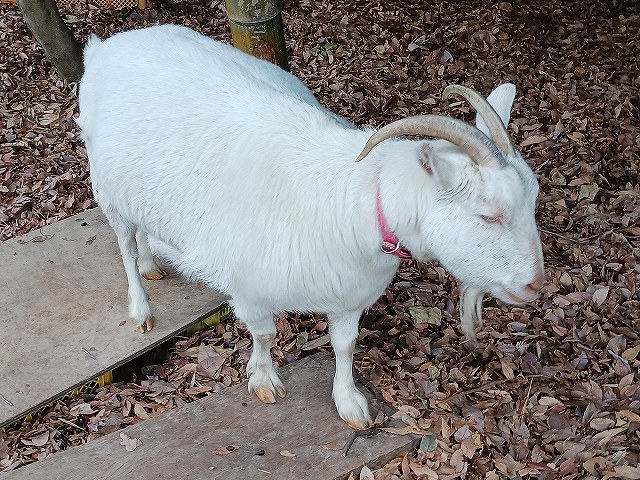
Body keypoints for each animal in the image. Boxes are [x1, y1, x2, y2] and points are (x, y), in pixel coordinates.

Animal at [77, 24, 544, 430]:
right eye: (488, 214)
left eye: (533, 201)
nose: (536, 285)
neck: (354, 202)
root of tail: (104, 46)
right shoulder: (250, 289)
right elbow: (264, 334)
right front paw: (263, 379)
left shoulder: (350, 294)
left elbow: (345, 344)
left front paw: (350, 403)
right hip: (107, 188)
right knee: (124, 244)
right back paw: (141, 306)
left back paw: (153, 263)